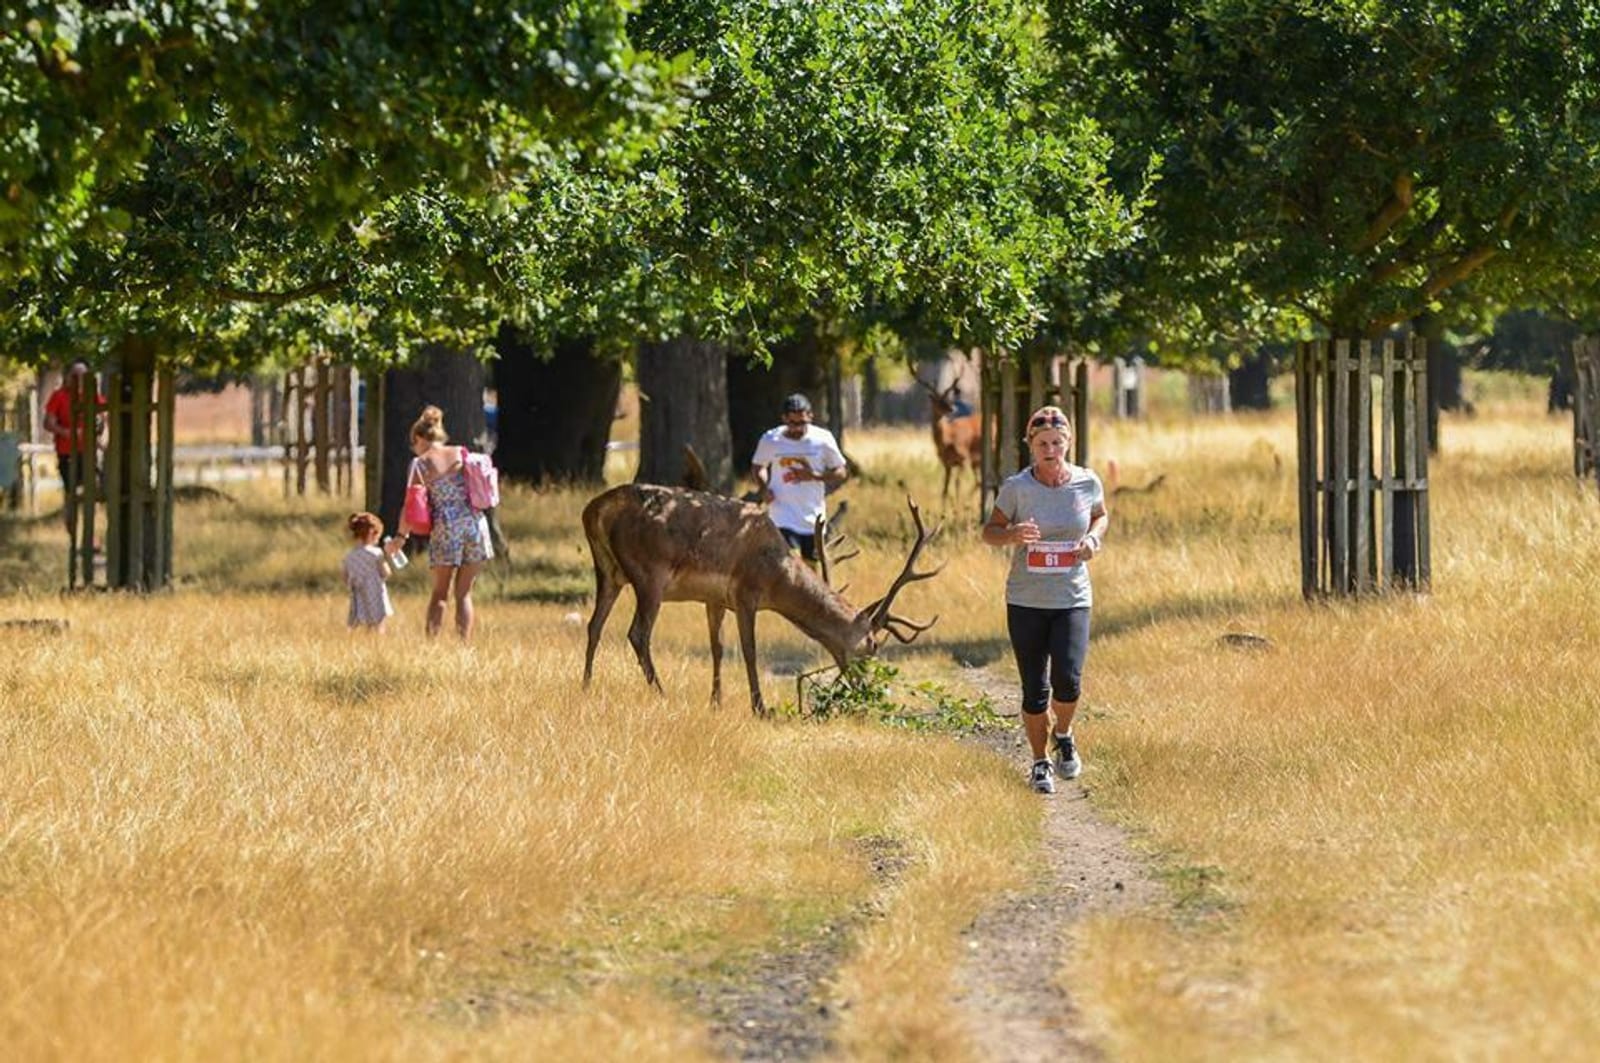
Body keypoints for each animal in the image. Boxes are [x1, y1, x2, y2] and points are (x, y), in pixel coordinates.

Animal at [581, 485, 940, 715]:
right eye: (872, 645)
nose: (868, 689)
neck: (778, 575)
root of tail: (595, 509)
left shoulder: (714, 599)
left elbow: (718, 647)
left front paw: (717, 702)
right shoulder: (746, 592)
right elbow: (750, 651)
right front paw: (760, 706)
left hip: (608, 571)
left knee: (594, 625)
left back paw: (586, 687)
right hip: (649, 573)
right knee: (638, 633)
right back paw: (662, 693)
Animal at [916, 376, 982, 505]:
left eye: (948, 398)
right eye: (938, 400)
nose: (952, 409)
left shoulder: (964, 458)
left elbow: (957, 484)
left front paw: (957, 506)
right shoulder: (947, 464)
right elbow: (944, 489)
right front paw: (944, 509)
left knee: (979, 482)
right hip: (976, 462)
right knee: (979, 482)